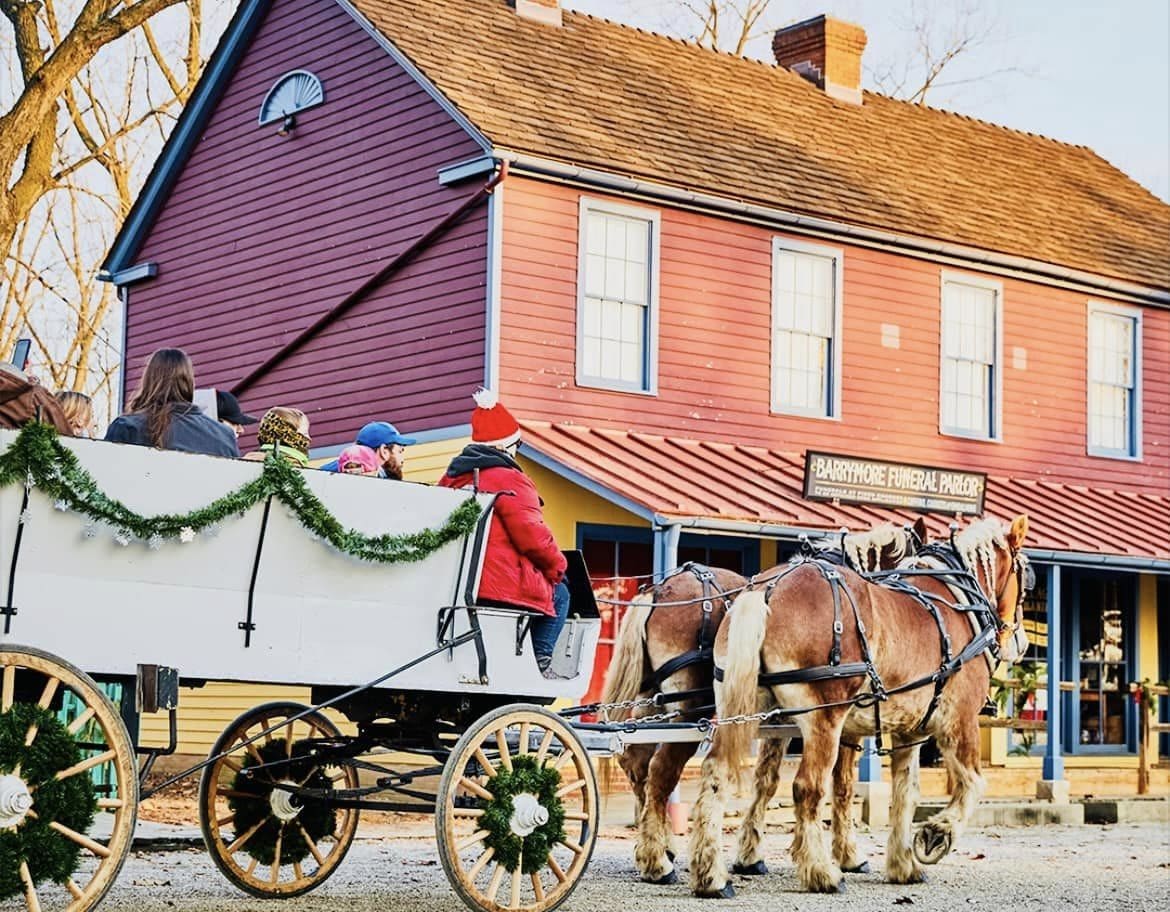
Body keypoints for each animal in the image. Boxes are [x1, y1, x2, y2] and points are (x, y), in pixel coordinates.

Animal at [603, 524, 921, 889]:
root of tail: (658, 591)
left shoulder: (779, 722)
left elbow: (766, 778)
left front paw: (751, 854)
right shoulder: (832, 721)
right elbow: (840, 783)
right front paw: (848, 856)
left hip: (654, 702)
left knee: (637, 763)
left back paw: (659, 847)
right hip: (689, 708)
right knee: (660, 770)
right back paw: (661, 859)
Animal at [687, 517, 1029, 894]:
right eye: (1025, 579)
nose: (1022, 642)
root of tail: (768, 590)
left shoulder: (908, 732)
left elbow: (904, 794)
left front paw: (902, 864)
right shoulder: (959, 721)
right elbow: (972, 784)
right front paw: (935, 836)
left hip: (740, 710)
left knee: (717, 773)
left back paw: (712, 875)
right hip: (823, 719)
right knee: (807, 787)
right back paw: (821, 872)